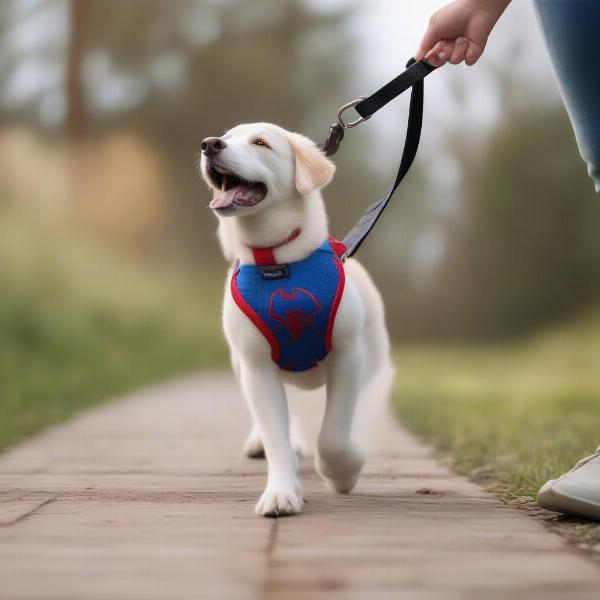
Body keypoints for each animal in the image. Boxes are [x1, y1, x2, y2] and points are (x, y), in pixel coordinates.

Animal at [199, 122, 392, 516]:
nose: (209, 145)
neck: (276, 262)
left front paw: (344, 471)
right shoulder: (257, 366)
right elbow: (276, 436)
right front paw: (281, 493)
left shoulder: (347, 356)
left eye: (260, 143)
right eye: (225, 136)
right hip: (242, 365)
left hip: (374, 362)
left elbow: (334, 436)